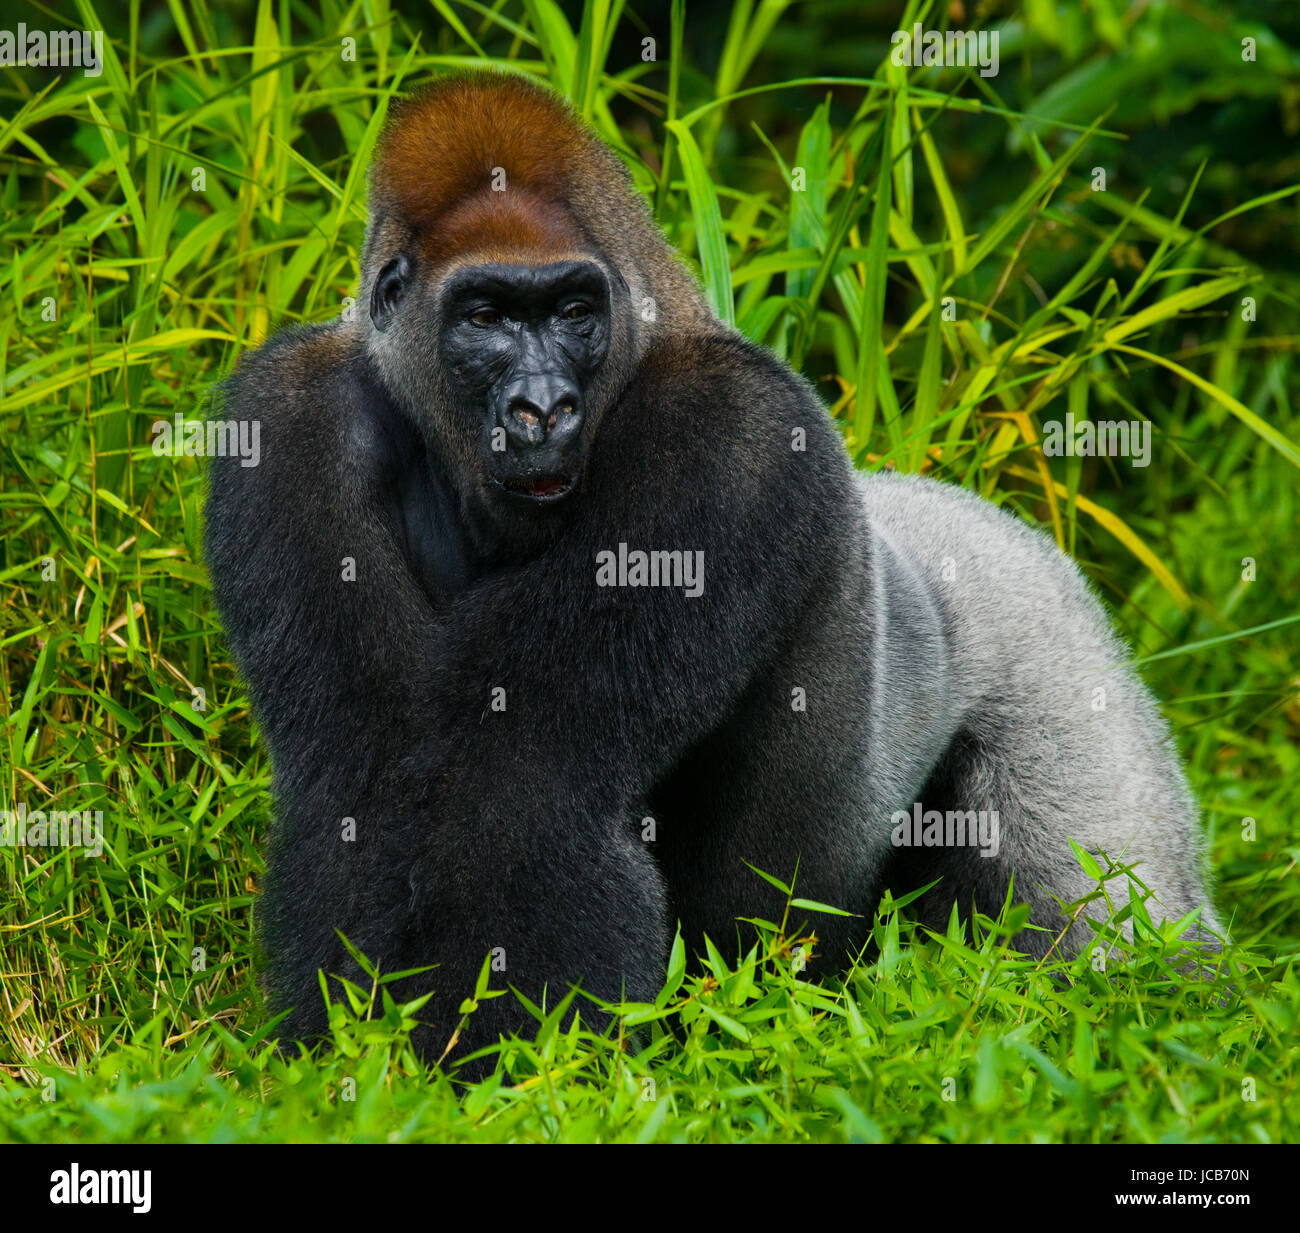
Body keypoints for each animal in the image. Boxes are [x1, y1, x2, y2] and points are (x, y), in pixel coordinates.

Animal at [202, 69, 1216, 1071]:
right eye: (485, 317)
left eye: (574, 313)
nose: (542, 410)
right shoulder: (286, 415)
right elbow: (360, 775)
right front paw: (348, 1056)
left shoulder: (732, 431)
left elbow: (524, 787)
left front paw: (521, 1067)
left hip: (1058, 651)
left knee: (1110, 927)